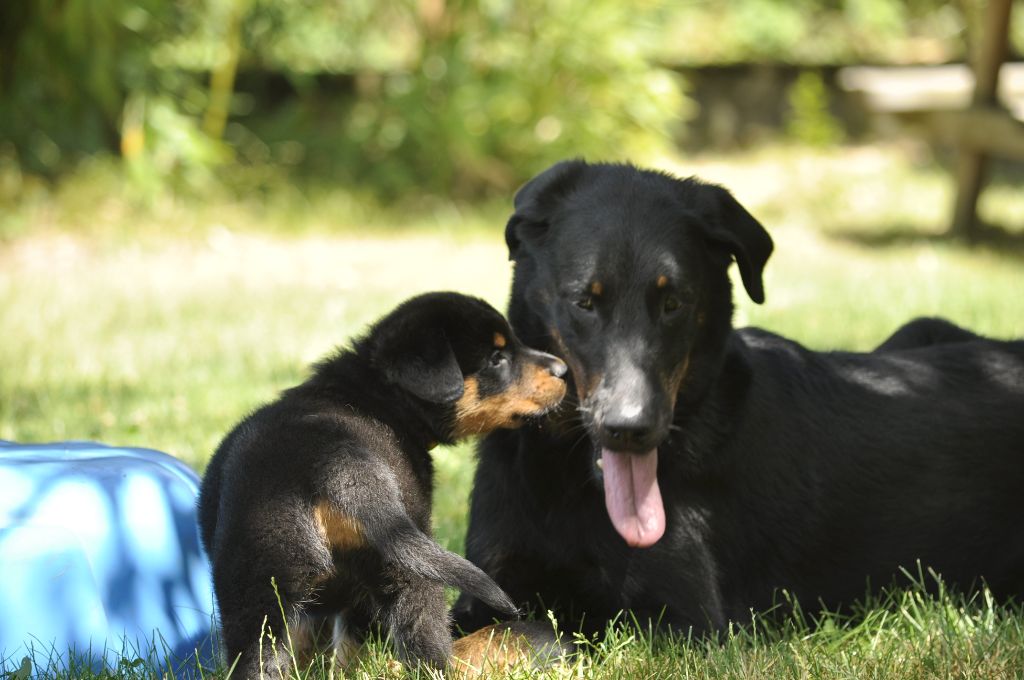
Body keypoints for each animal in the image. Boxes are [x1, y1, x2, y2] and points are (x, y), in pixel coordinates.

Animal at [197, 290, 569, 675]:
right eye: (497, 358)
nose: (562, 370)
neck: (379, 395)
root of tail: (332, 458)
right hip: (404, 568)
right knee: (421, 645)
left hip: (255, 581)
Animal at [452, 160, 1024, 639]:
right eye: (584, 302)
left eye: (674, 303)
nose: (631, 429)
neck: (566, 481)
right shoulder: (489, 583)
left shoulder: (678, 619)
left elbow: (528, 633)